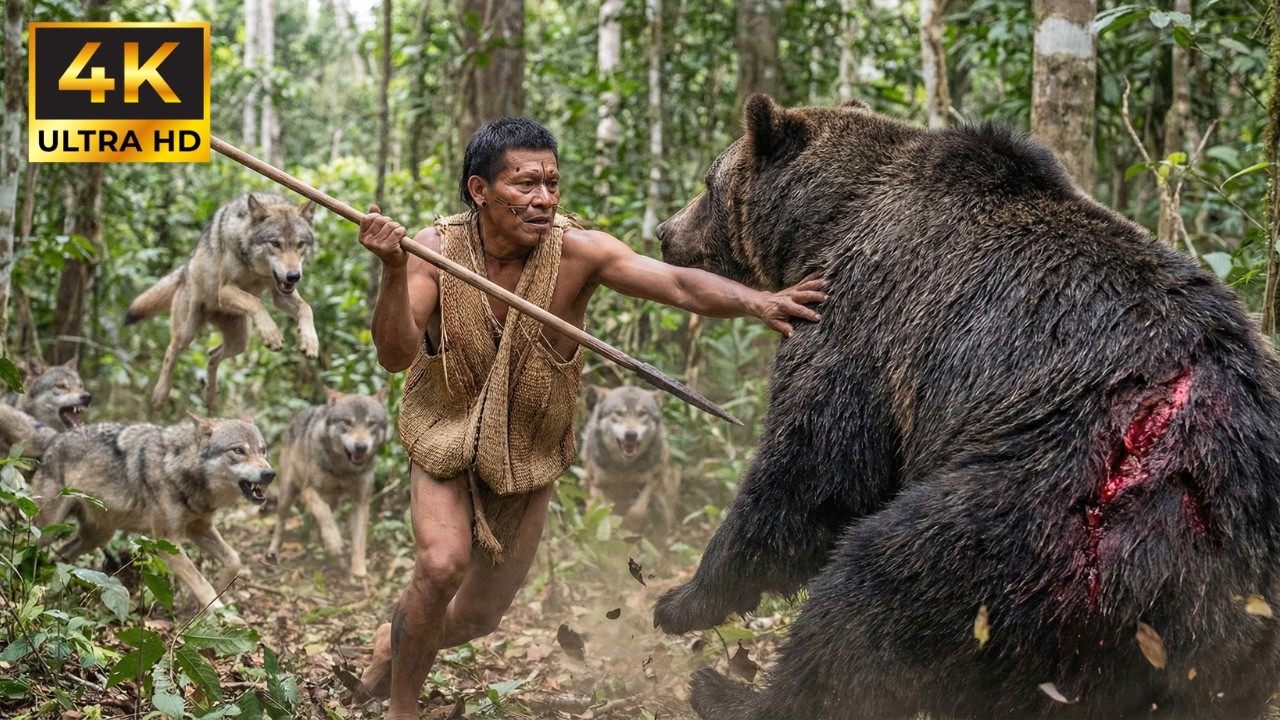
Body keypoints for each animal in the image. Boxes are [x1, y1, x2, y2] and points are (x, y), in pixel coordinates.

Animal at [33, 415, 275, 610]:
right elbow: (200, 583)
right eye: (238, 450)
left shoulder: (200, 528)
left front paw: (221, 585)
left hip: (98, 536)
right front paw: (221, 615)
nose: (269, 474)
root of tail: (53, 439)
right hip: (47, 531)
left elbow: (234, 559)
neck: (178, 467)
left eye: (263, 450)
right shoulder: (166, 541)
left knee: (61, 554)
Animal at [125, 192, 319, 409]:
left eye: (300, 244)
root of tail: (184, 270)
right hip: (187, 333)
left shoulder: (280, 294)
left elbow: (306, 308)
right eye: (275, 243)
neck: (256, 270)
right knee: (170, 352)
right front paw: (272, 334)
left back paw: (210, 396)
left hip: (240, 341)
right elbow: (255, 302)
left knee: (211, 355)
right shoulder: (224, 291)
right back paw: (160, 394)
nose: (294, 276)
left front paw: (310, 341)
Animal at [266, 388, 389, 578]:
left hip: (333, 500)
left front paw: (358, 571)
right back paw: (273, 552)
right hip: (287, 496)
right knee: (281, 524)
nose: (361, 447)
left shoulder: (362, 502)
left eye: (371, 423)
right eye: (347, 422)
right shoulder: (308, 490)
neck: (343, 469)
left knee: (317, 522)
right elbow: (324, 514)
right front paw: (335, 543)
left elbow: (359, 540)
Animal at [580, 385, 679, 539]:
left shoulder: (655, 477)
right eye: (619, 413)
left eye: (642, 414)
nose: (631, 435)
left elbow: (637, 511)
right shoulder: (596, 485)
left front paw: (629, 524)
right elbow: (604, 512)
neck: (624, 469)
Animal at [651, 94, 1280, 719]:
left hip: (1035, 511)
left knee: (875, 589)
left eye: (707, 182)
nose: (662, 231)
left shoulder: (858, 318)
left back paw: (727, 692)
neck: (822, 221)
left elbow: (811, 472)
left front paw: (681, 600)